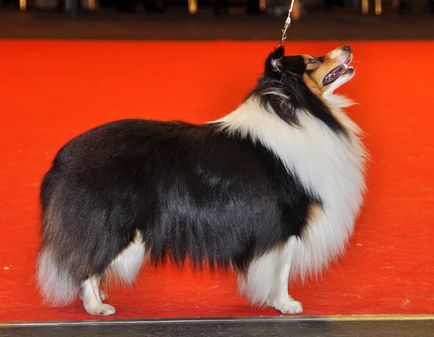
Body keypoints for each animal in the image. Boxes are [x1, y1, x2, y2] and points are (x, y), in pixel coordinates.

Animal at [36, 44, 366, 316]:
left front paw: (276, 302)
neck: (297, 110)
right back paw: (96, 306)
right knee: (87, 263)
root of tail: (63, 158)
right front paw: (285, 304)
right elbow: (282, 267)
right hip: (111, 222)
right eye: (311, 61)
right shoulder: (288, 223)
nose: (348, 46)